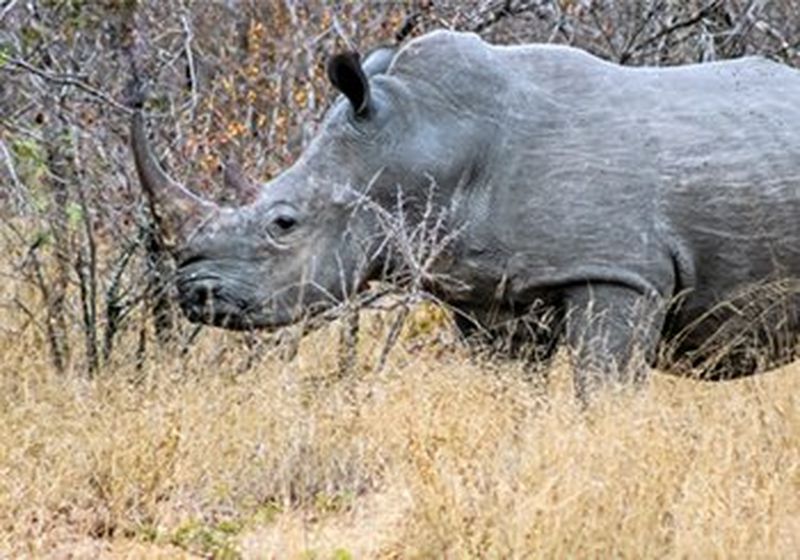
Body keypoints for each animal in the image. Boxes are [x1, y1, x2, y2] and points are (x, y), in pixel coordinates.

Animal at [134, 30, 796, 398]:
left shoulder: (618, 272)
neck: (423, 140)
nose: (192, 295)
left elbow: (602, 391)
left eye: (283, 223)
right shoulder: (488, 292)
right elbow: (510, 395)